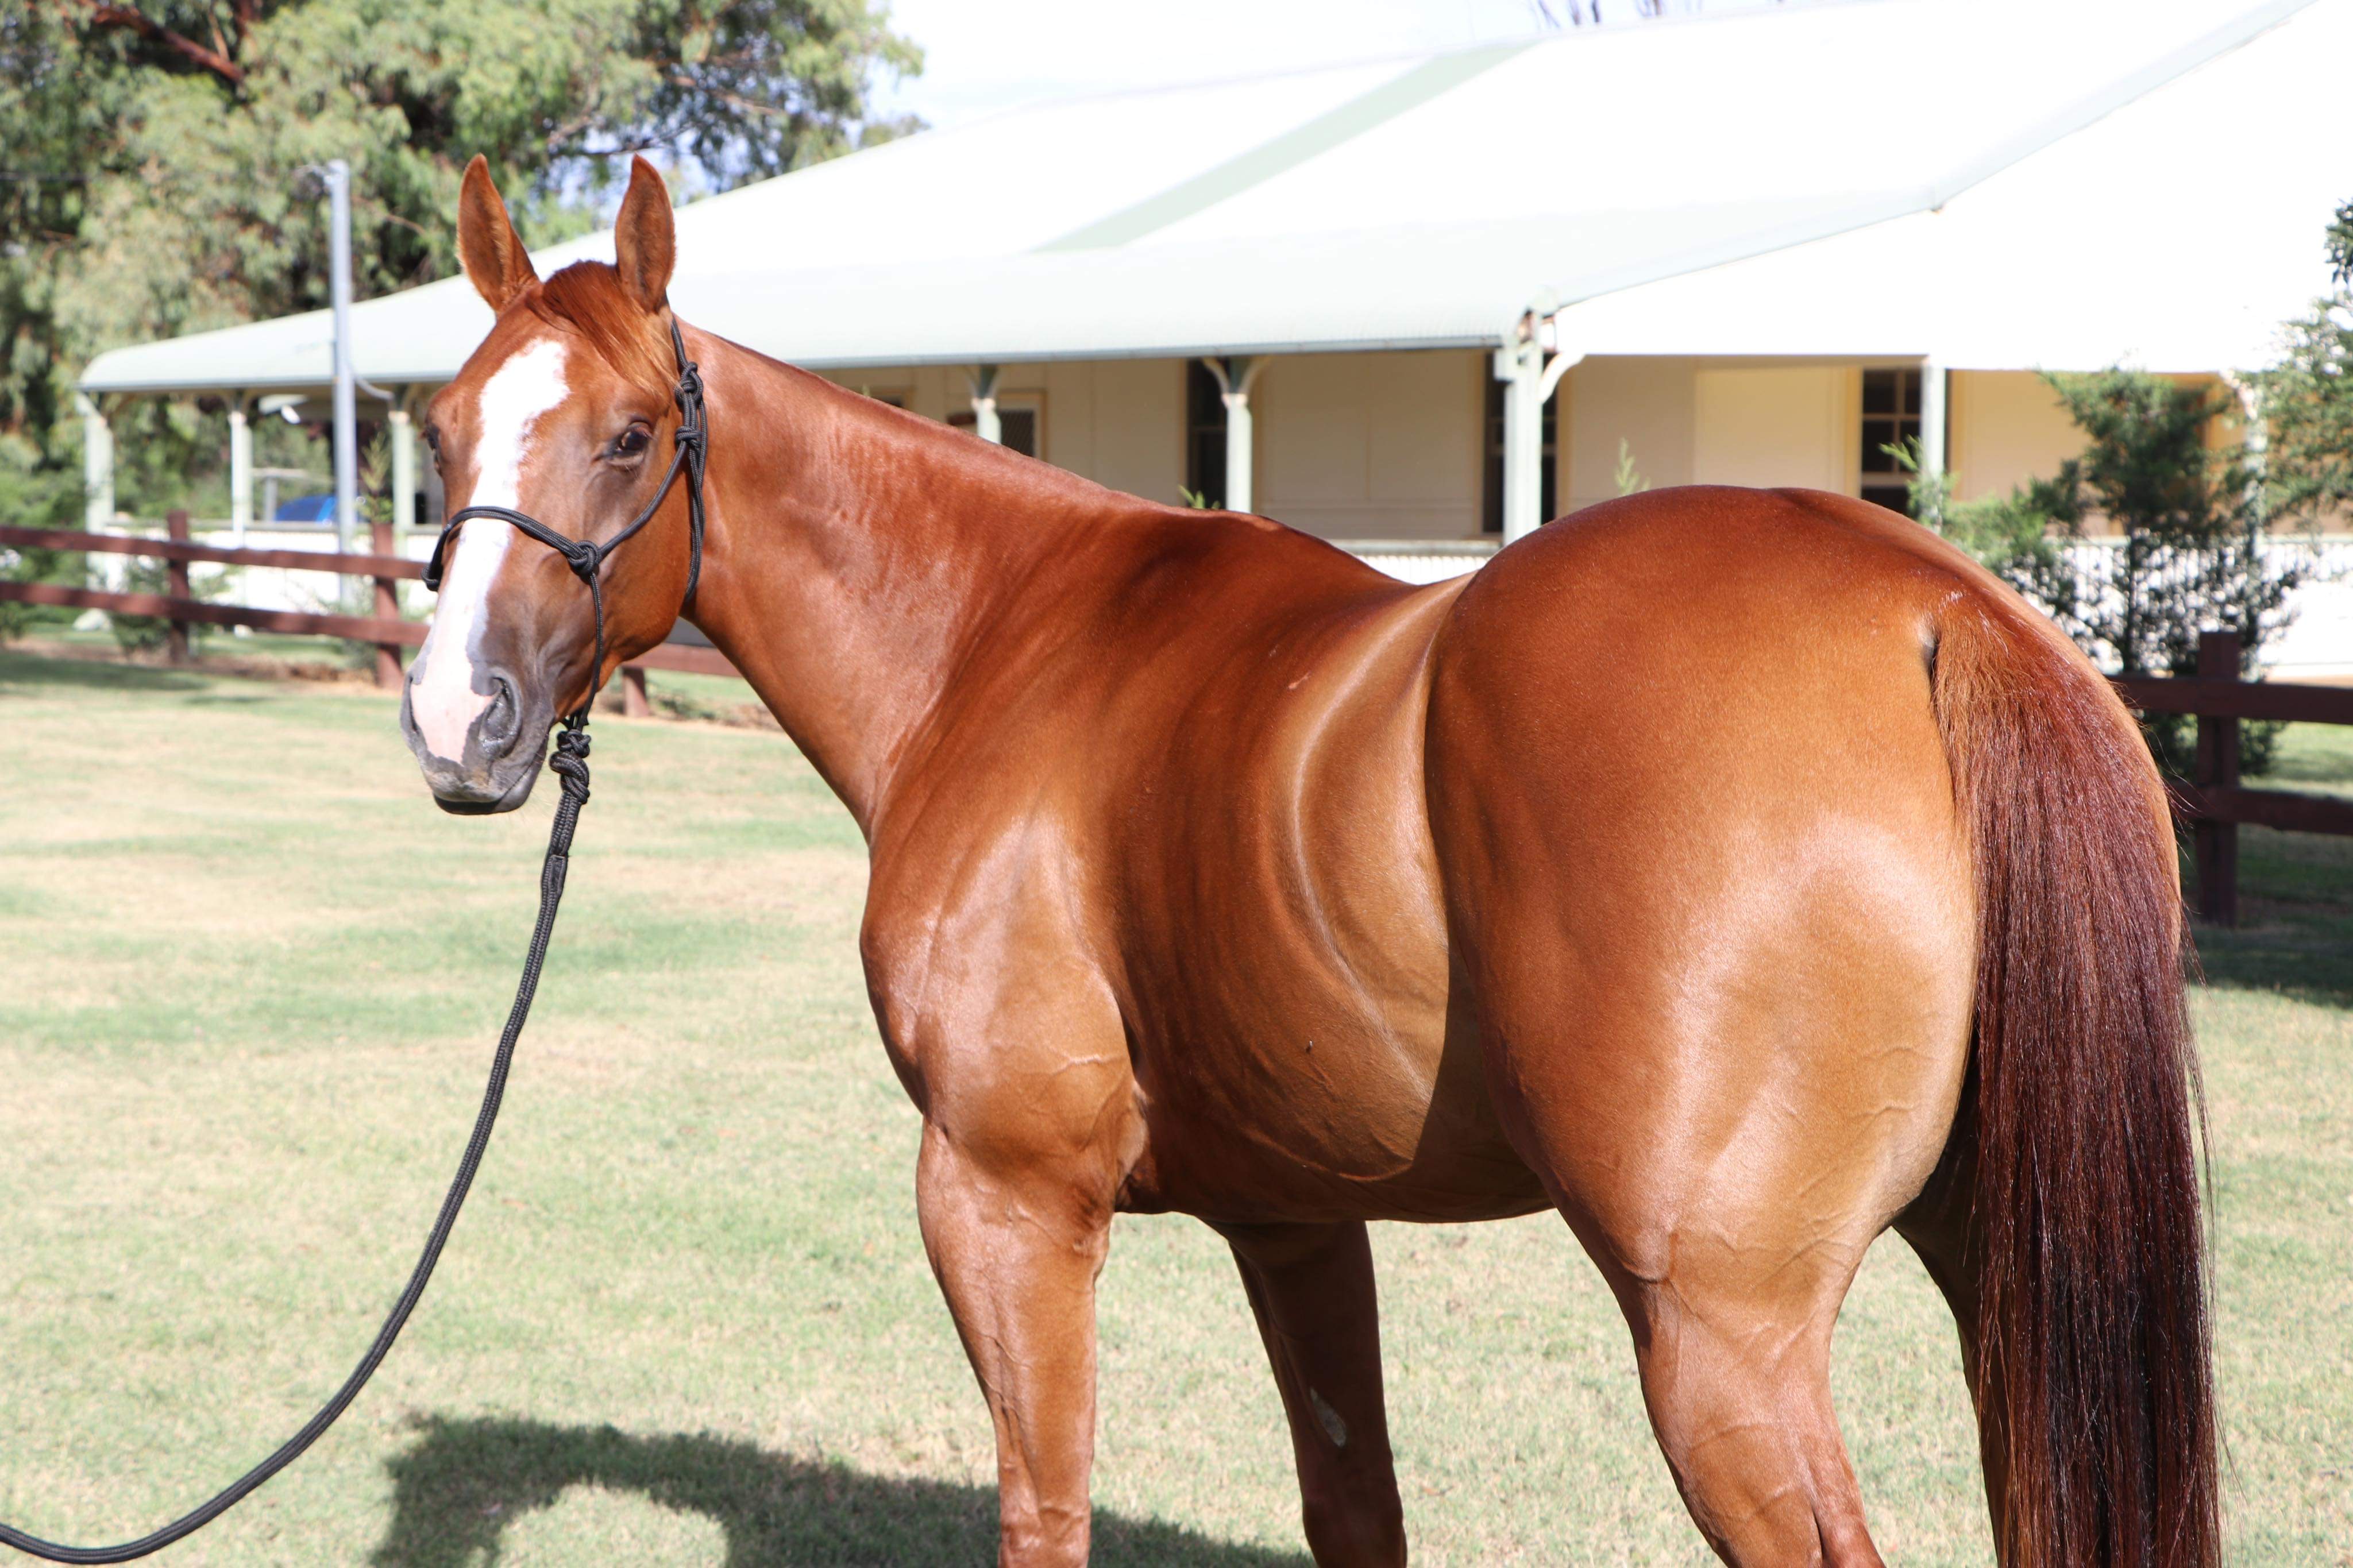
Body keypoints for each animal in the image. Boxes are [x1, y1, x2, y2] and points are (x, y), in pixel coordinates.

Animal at [399, 154, 2215, 1568]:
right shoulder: (1293, 1222)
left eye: (632, 437)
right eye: (439, 430)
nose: (455, 719)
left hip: (1727, 1341)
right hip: (2013, 1281)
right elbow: (1356, 1504)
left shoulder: (1004, 1201)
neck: (1001, 637)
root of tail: (1933, 607)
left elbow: (1044, 1508)